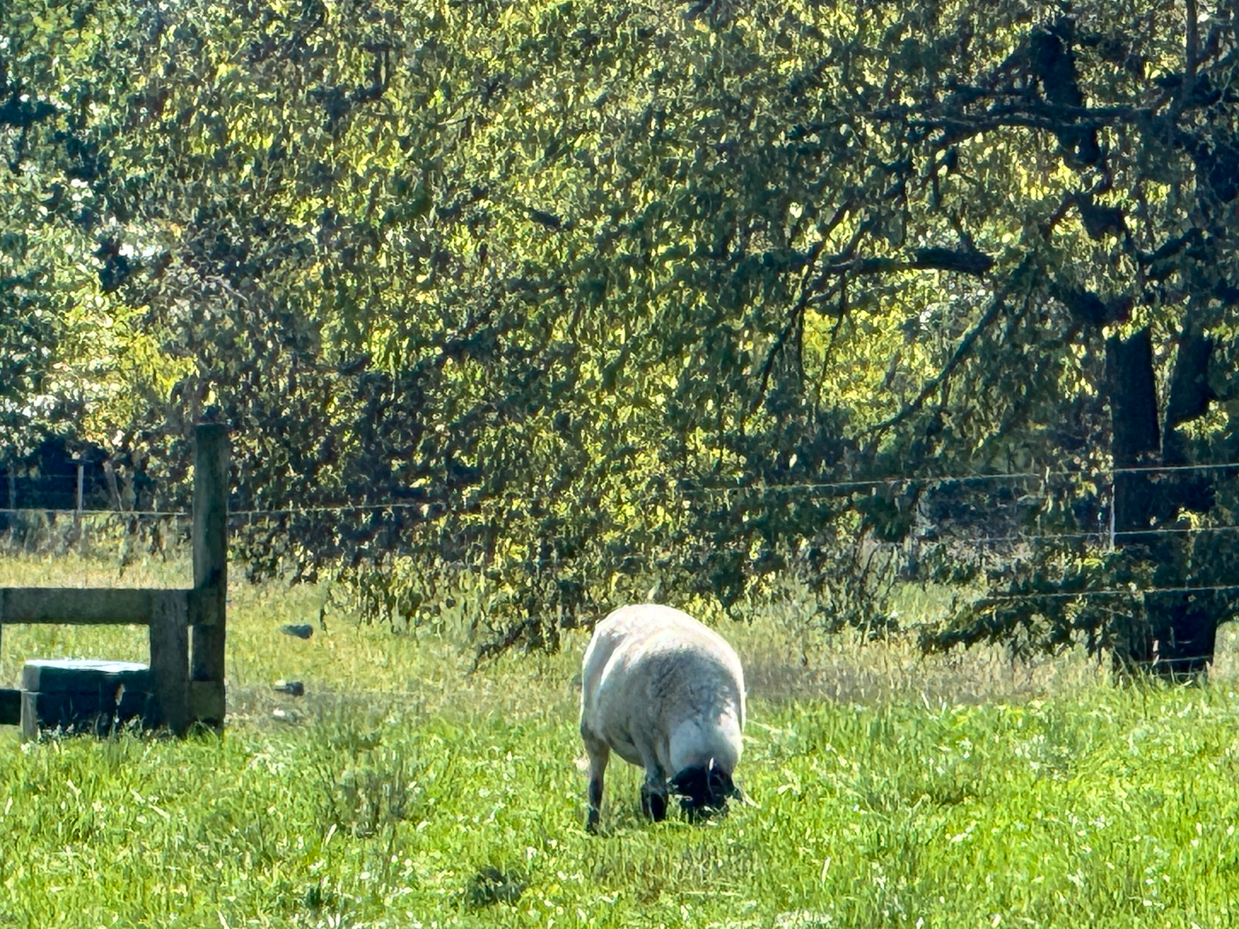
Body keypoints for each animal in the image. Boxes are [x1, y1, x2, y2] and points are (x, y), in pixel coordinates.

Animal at [577, 606, 743, 832]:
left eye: (720, 804)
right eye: (691, 799)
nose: (702, 826)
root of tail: (630, 607)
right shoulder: (645, 740)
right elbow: (658, 792)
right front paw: (657, 824)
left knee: (644, 784)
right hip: (591, 732)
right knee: (596, 784)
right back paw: (592, 827)